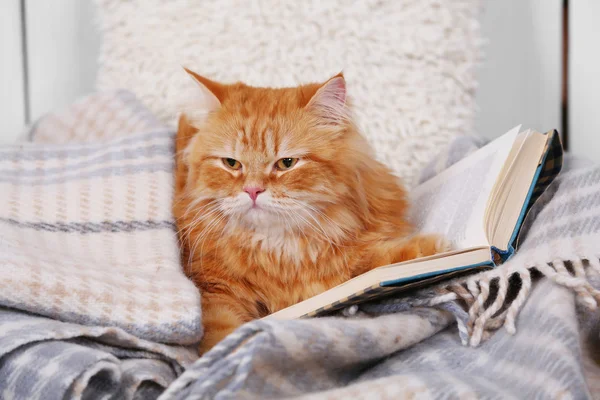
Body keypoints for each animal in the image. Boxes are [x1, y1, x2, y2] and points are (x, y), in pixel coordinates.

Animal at [172, 69, 446, 354]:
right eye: (231, 163)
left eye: (286, 163)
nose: (252, 190)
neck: (278, 251)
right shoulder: (214, 290)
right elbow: (221, 331)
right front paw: (226, 352)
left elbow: (376, 262)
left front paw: (431, 252)